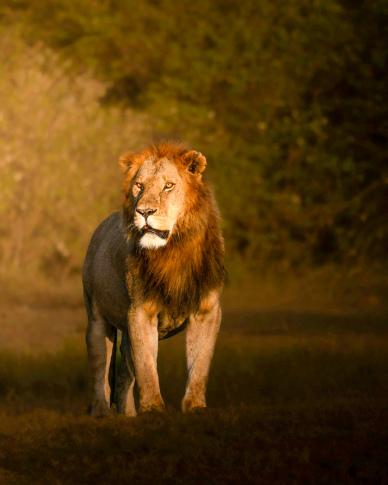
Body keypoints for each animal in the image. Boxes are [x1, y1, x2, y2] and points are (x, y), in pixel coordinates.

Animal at [83, 141, 226, 416]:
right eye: (139, 186)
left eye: (168, 186)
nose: (144, 211)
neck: (173, 250)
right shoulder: (141, 311)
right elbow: (147, 365)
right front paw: (153, 408)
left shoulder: (207, 310)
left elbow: (200, 363)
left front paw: (195, 406)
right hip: (97, 321)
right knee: (100, 374)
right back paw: (102, 412)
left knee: (123, 375)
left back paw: (127, 415)